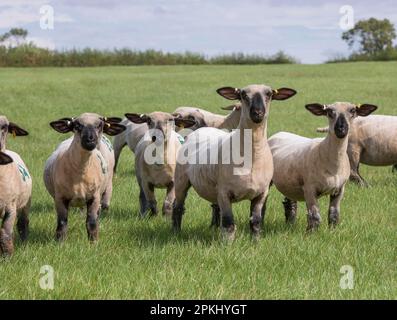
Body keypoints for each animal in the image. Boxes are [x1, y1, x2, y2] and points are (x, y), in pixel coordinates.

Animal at [172, 84, 296, 239]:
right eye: (243, 95)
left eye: (269, 94)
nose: (257, 113)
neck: (253, 157)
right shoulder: (225, 193)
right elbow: (228, 223)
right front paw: (227, 244)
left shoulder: (261, 193)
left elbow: (256, 222)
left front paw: (255, 241)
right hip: (181, 180)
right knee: (177, 207)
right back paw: (175, 232)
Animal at [268, 102, 376, 230]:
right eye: (329, 112)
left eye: (353, 111)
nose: (341, 129)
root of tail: (279, 133)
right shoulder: (309, 189)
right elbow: (315, 216)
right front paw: (311, 233)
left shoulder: (340, 189)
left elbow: (334, 214)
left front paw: (333, 231)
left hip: (289, 182)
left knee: (290, 203)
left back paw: (290, 223)